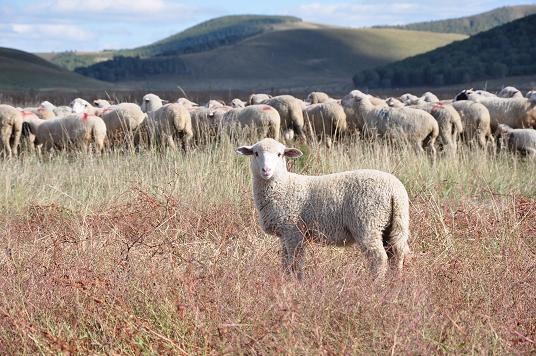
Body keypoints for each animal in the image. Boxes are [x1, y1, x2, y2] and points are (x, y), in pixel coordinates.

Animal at [237, 138, 408, 280]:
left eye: (279, 154)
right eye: (256, 153)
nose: (266, 170)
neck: (283, 185)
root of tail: (395, 190)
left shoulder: (294, 231)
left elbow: (295, 262)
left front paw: (296, 283)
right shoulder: (285, 233)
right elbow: (285, 263)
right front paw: (286, 281)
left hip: (368, 223)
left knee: (379, 258)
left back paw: (376, 284)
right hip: (393, 224)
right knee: (396, 253)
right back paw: (395, 283)